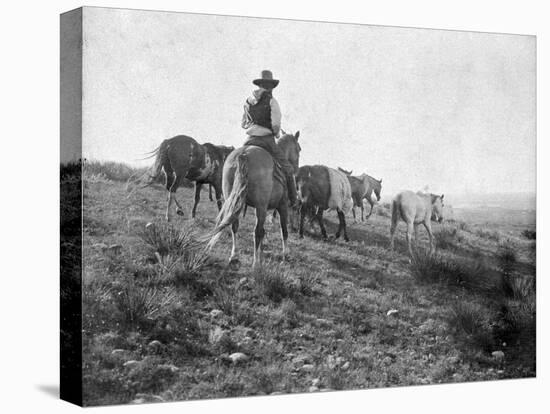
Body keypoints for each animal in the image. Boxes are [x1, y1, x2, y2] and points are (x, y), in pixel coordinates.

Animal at [207, 133, 302, 268]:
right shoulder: (282, 206)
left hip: (235, 201)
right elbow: (283, 230)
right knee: (256, 231)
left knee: (235, 226)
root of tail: (244, 154)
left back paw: (234, 256)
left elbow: (264, 231)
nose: (296, 169)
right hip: (260, 206)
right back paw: (256, 263)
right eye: (299, 149)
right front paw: (286, 254)